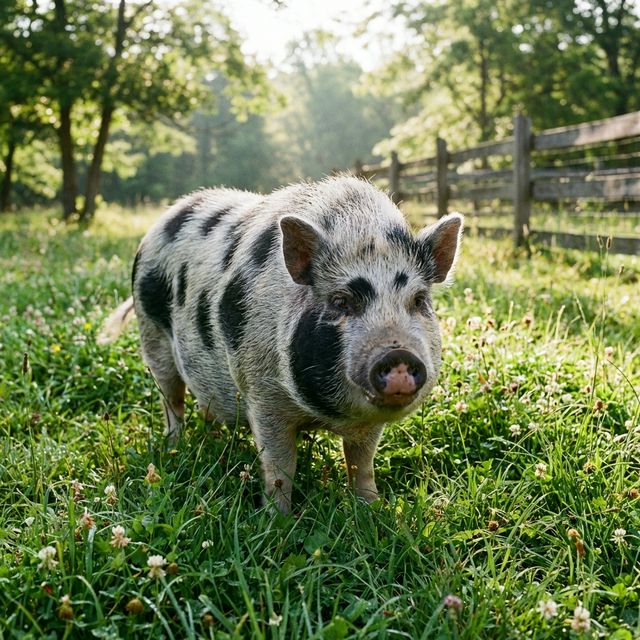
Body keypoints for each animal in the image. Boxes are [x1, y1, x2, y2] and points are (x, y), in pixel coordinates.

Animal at [100, 176, 463, 513]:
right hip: (152, 337)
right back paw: (174, 447)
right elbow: (280, 466)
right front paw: (277, 519)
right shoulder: (263, 396)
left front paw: (372, 510)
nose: (397, 354)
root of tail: (161, 221)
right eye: (341, 301)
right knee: (171, 399)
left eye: (418, 300)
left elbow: (361, 462)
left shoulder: (367, 425)